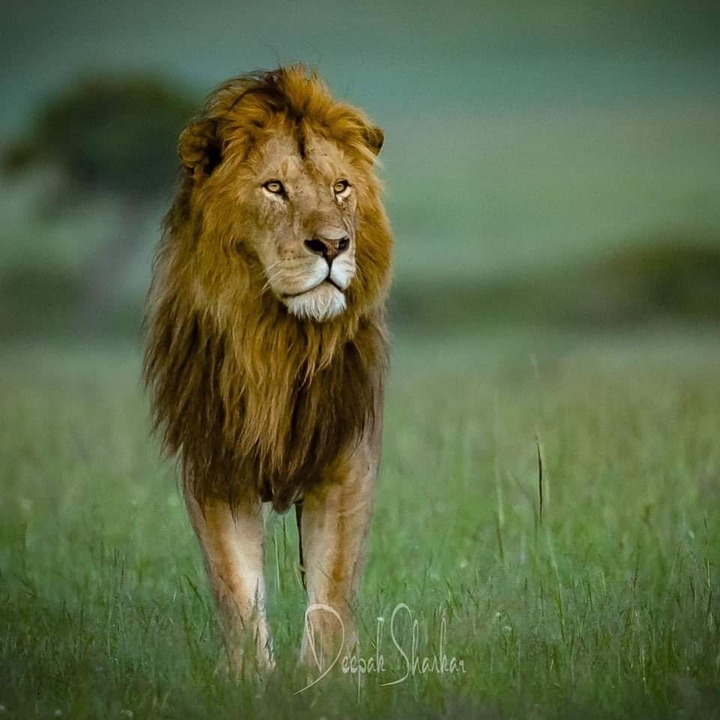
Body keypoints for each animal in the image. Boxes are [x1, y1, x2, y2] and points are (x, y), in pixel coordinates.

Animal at [143, 65, 392, 676]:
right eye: (274, 188)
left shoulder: (346, 466)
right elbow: (236, 589)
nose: (333, 245)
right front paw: (249, 680)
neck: (277, 343)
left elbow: (331, 593)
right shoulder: (213, 471)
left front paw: (325, 680)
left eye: (340, 187)